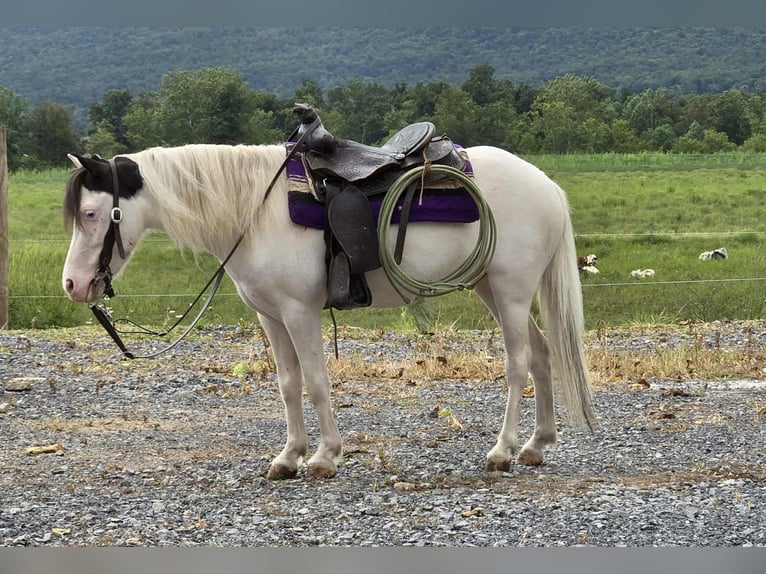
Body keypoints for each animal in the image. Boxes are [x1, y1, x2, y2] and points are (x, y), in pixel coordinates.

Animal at [61, 142, 596, 480]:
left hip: (510, 290)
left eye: (91, 213)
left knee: (519, 363)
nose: (73, 284)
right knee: (543, 355)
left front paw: (323, 457)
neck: (255, 212)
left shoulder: (300, 313)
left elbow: (317, 382)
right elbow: (288, 384)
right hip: (492, 288)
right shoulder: (271, 316)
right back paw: (535, 446)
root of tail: (547, 186)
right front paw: (287, 457)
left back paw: (502, 451)